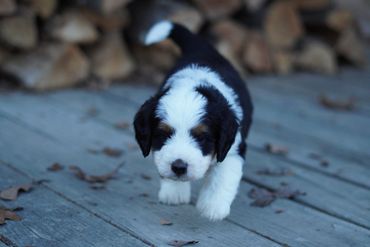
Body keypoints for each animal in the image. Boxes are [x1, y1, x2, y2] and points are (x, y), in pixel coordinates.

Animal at [134, 21, 253, 221]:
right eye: (162, 134)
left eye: (202, 137)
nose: (179, 167)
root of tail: (201, 48)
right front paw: (174, 193)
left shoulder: (232, 148)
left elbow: (222, 177)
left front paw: (213, 208)